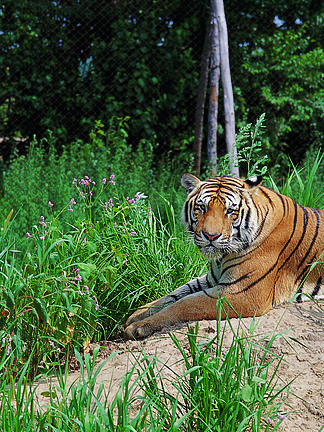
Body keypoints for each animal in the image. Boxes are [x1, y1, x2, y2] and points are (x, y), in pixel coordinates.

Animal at [123, 173, 322, 340]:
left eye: (230, 211)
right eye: (202, 207)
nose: (210, 236)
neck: (222, 257)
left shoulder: (245, 292)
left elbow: (186, 303)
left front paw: (138, 326)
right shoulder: (212, 278)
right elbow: (174, 294)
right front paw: (135, 315)